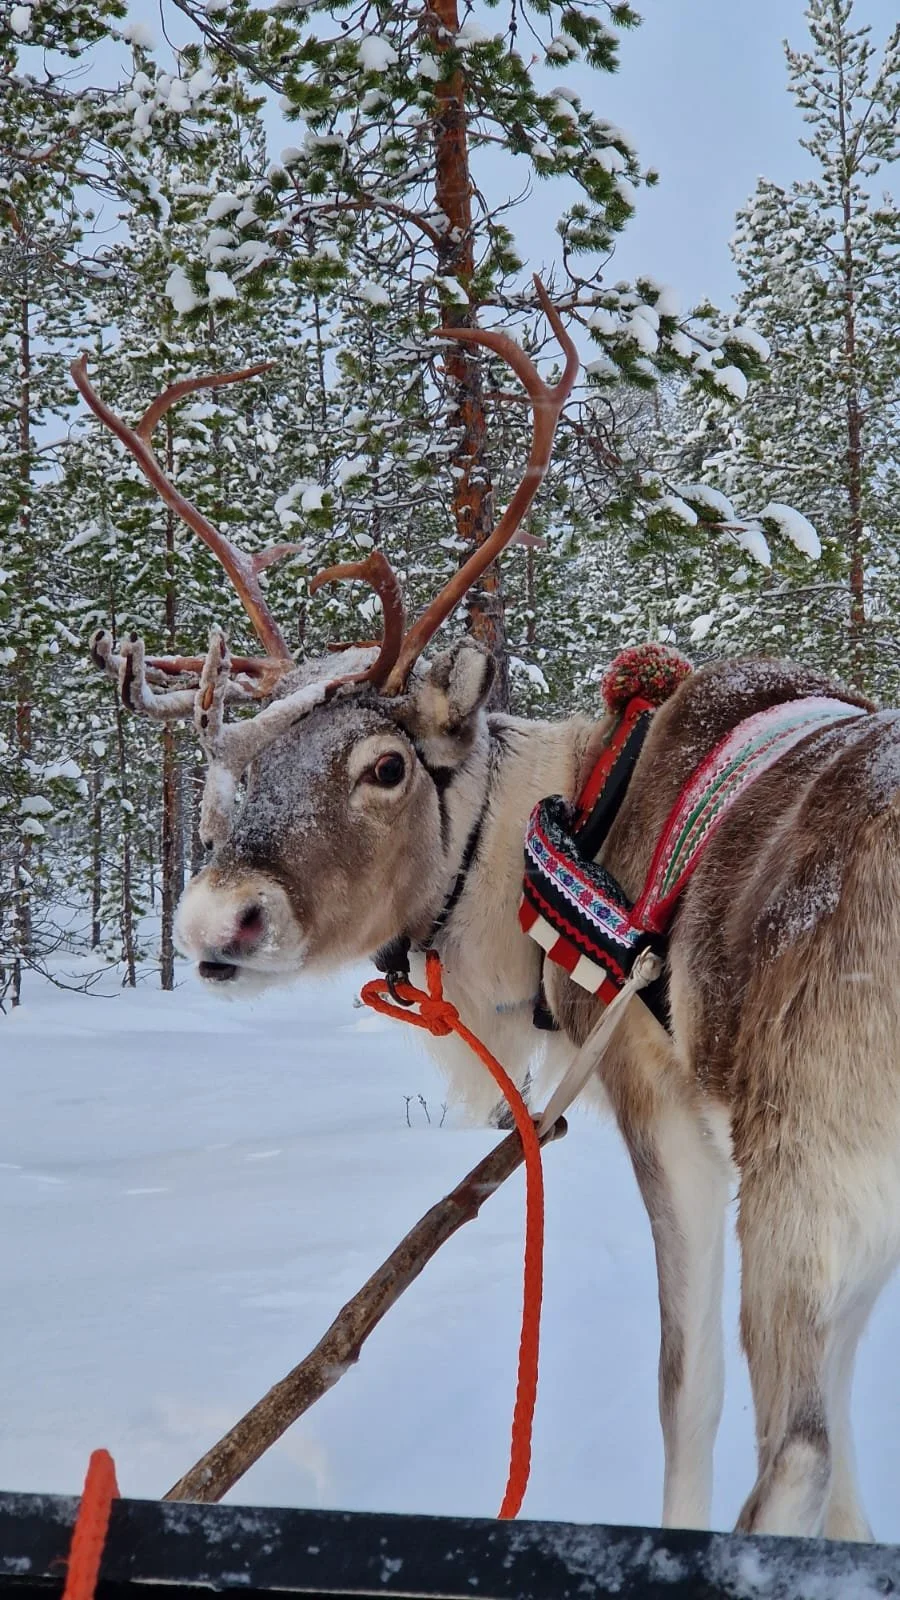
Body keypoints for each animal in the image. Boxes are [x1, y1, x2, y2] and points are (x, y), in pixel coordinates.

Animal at [72, 279, 900, 1544]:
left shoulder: (670, 1104)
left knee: (792, 1447)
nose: (217, 923)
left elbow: (690, 1388)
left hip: (805, 1143)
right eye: (224, 764)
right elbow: (854, 1450)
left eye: (384, 767)